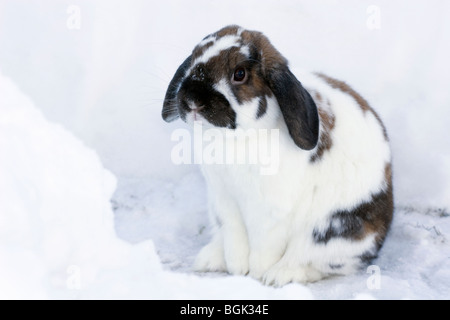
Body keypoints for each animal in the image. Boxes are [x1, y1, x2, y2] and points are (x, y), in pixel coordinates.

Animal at [163, 24, 394, 284]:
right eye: (193, 59)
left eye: (239, 74)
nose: (192, 100)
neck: (234, 140)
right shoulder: (224, 200)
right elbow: (234, 237)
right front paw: (236, 267)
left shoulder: (270, 211)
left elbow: (263, 246)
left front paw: (256, 275)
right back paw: (209, 260)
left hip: (334, 232)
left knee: (313, 261)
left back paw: (278, 275)